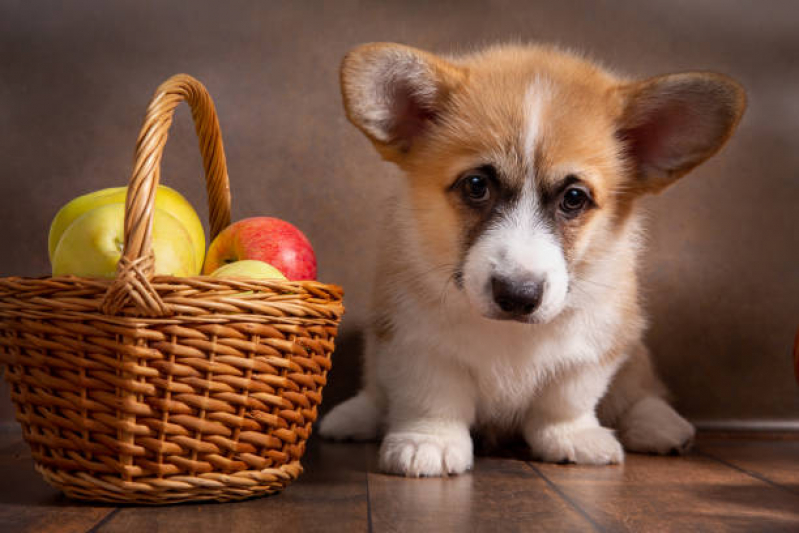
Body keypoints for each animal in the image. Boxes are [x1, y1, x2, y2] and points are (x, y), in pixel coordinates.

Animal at [322, 42, 748, 474]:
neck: (510, 333)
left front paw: (573, 437)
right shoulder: (412, 339)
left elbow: (567, 397)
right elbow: (432, 394)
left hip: (635, 353)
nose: (517, 295)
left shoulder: (595, 345)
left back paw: (660, 425)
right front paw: (429, 441)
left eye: (574, 198)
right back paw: (354, 416)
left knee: (639, 390)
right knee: (376, 391)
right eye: (476, 185)